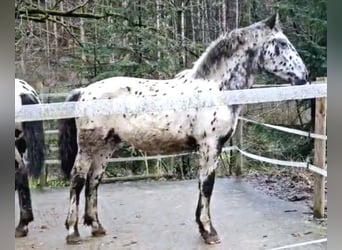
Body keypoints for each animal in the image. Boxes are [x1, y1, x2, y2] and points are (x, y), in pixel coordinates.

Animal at [57, 12, 308, 245]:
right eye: (282, 43)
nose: (304, 76)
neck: (216, 90)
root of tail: (84, 91)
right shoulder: (209, 147)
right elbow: (207, 185)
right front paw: (209, 231)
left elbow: (203, 185)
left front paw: (203, 227)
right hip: (88, 146)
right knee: (77, 180)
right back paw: (72, 232)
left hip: (106, 146)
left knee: (93, 180)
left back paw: (97, 226)